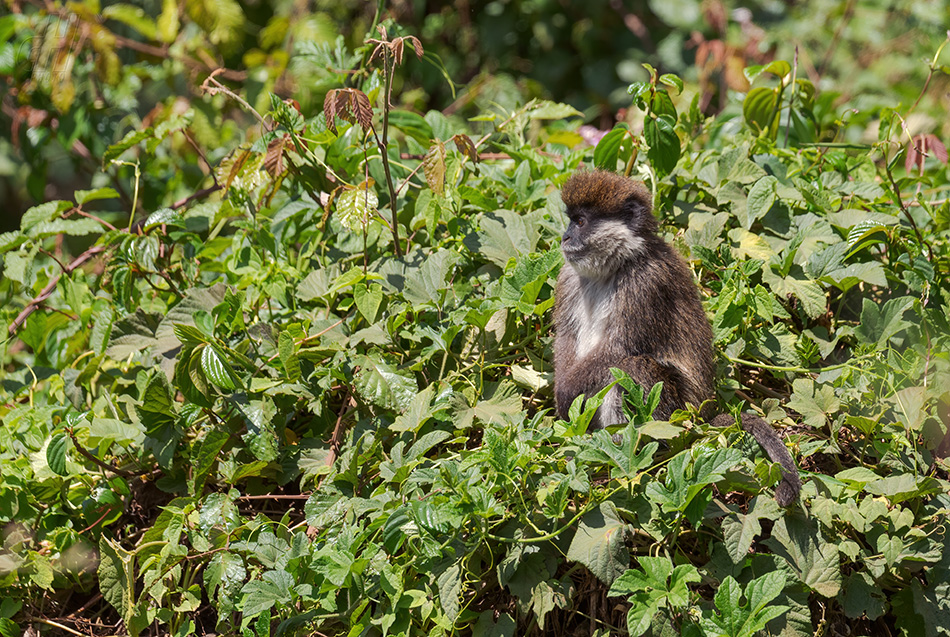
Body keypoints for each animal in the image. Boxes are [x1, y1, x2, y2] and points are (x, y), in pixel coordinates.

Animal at [556, 169, 800, 506]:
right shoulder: (568, 276)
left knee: (632, 368)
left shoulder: (644, 283)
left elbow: (620, 348)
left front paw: (565, 396)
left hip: (673, 414)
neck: (617, 264)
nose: (565, 238)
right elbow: (566, 337)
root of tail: (700, 415)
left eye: (580, 222)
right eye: (570, 220)